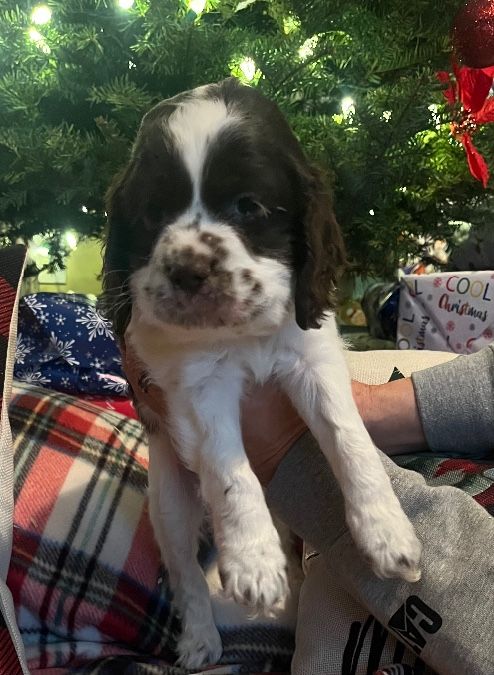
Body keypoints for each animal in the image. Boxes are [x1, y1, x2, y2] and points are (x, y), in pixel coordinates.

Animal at [102, 79, 422, 672]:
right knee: (185, 572)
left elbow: (349, 439)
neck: (242, 335)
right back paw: (201, 640)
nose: (186, 270)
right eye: (153, 213)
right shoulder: (198, 383)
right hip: (169, 501)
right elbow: (230, 470)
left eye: (247, 206)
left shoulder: (313, 358)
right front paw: (252, 561)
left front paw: (387, 532)